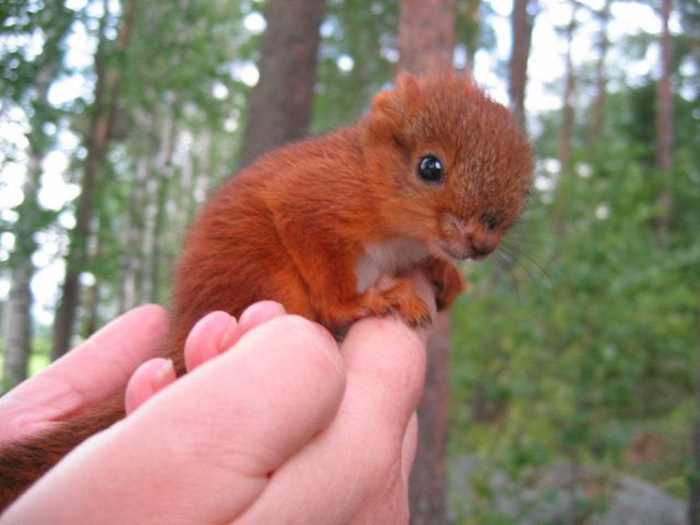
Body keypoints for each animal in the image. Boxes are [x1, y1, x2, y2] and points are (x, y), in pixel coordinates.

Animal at [0, 73, 532, 508]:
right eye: (429, 167)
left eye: (525, 191)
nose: (481, 244)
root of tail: (184, 329)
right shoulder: (314, 201)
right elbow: (324, 264)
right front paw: (368, 300)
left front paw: (444, 273)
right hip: (261, 273)